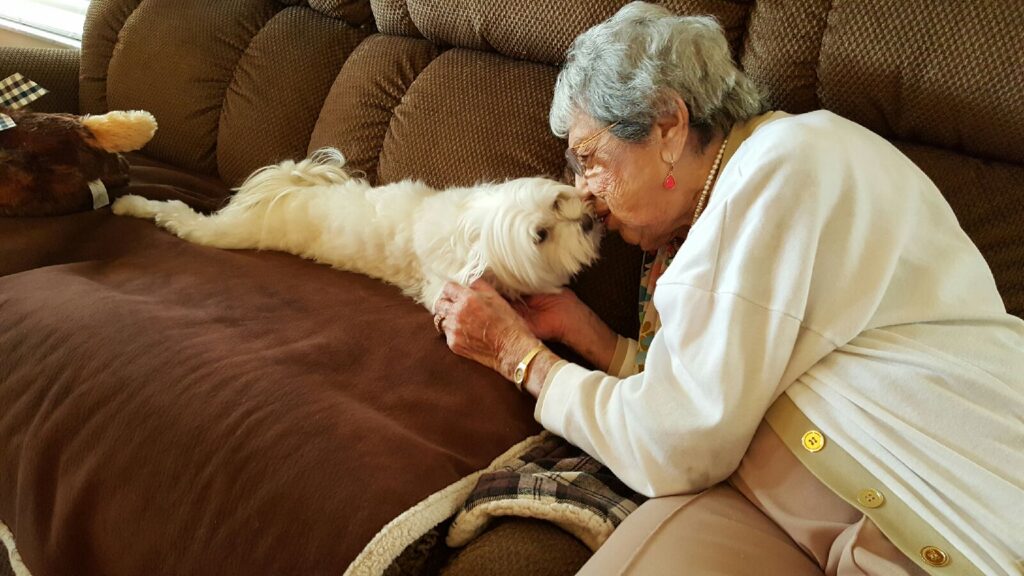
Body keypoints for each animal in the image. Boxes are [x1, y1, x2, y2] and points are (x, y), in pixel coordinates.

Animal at [114, 147, 598, 309]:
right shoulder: (442, 286)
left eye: (559, 202)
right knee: (178, 213)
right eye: (541, 235)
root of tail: (288, 191)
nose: (591, 220)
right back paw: (128, 203)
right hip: (233, 232)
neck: (469, 228)